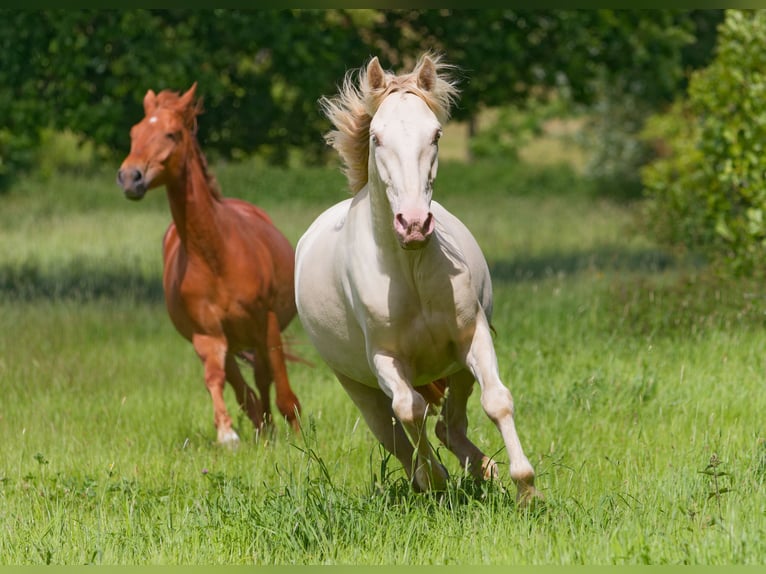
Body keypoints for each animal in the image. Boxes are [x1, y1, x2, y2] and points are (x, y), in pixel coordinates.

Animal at [117, 84, 304, 446]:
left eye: (171, 134)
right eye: (134, 132)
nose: (130, 177)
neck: (217, 257)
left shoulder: (268, 323)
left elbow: (284, 391)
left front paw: (300, 438)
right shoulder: (208, 336)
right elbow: (216, 381)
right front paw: (227, 434)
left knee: (264, 379)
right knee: (245, 388)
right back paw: (263, 430)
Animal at [294, 51, 540, 506]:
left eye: (436, 134)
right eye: (376, 137)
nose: (412, 224)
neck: (410, 272)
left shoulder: (472, 336)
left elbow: (497, 401)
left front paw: (526, 487)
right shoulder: (385, 359)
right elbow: (410, 411)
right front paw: (438, 481)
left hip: (457, 368)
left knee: (449, 426)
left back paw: (485, 471)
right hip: (358, 385)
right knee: (396, 435)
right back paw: (431, 479)